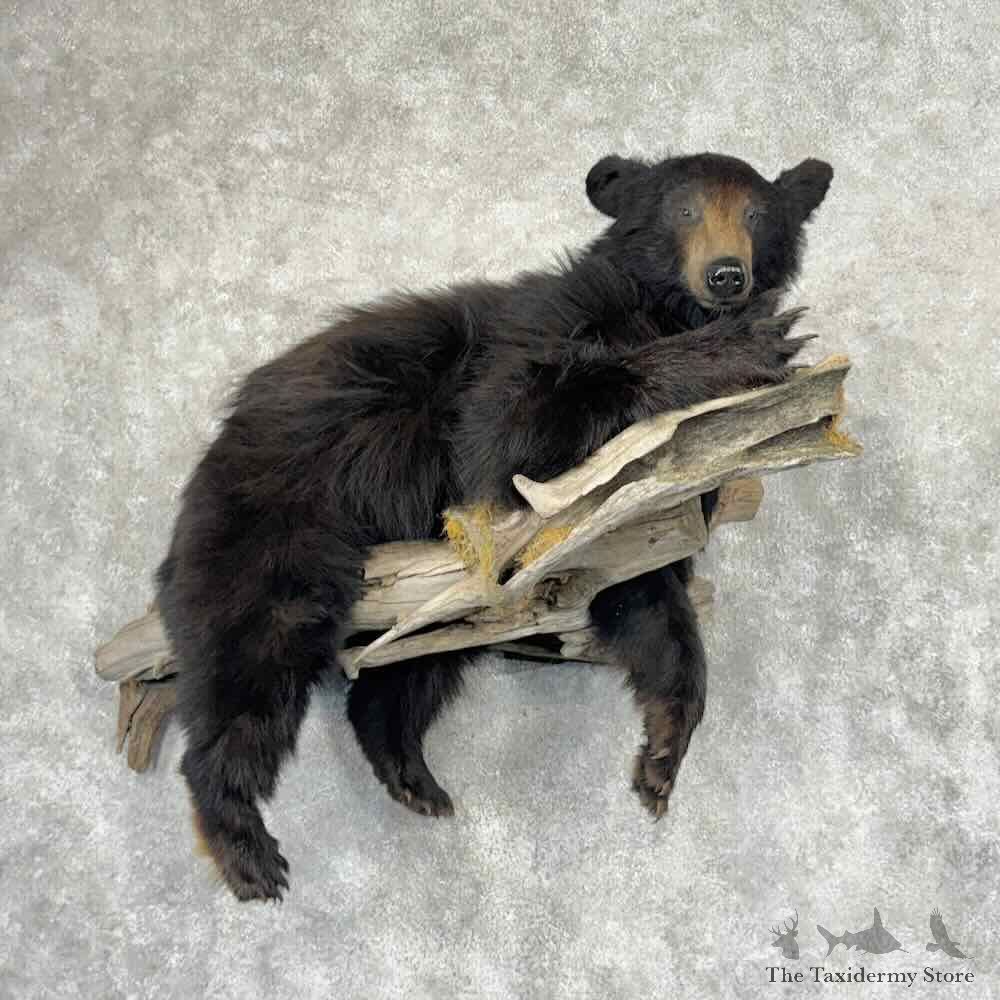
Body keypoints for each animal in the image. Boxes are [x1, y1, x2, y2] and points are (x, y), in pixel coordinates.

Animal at [155, 151, 833, 901]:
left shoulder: (640, 504)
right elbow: (500, 431)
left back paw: (411, 775)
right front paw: (750, 347)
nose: (725, 275)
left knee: (404, 674)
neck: (660, 312)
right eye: (682, 209)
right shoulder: (537, 337)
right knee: (251, 655)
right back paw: (243, 842)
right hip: (277, 522)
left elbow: (645, 595)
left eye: (756, 213)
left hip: (435, 595)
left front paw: (661, 756)